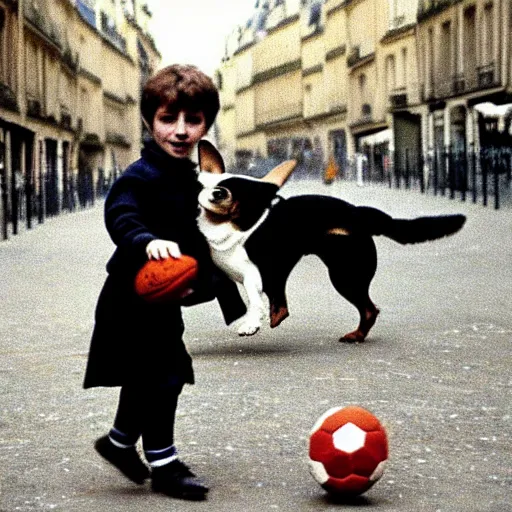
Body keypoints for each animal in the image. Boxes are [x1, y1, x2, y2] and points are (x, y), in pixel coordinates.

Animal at [197, 140, 468, 340]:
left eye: (235, 191)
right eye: (205, 184)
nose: (216, 193)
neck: (227, 226)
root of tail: (358, 212)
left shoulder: (254, 274)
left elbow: (254, 300)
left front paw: (251, 323)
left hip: (344, 275)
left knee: (368, 309)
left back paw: (354, 335)